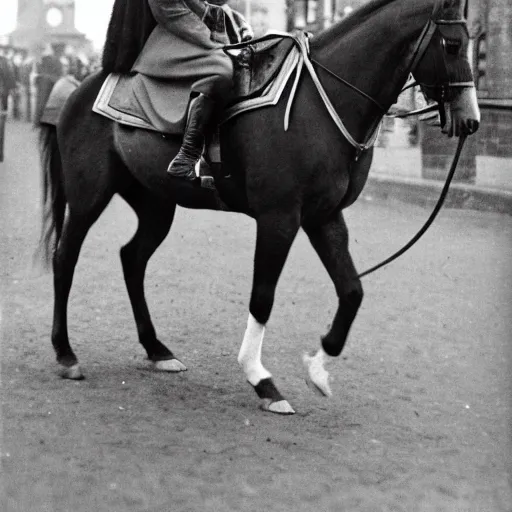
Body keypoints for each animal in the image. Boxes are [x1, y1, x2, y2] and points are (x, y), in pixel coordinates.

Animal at [40, 0, 480, 414]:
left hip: (156, 205)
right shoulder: (278, 218)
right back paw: (65, 353)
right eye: (453, 44)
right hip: (88, 197)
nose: (471, 120)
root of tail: (77, 89)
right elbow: (262, 296)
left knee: (132, 258)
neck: (320, 103)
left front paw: (317, 368)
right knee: (65, 257)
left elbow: (351, 290)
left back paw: (156, 349)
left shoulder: (323, 216)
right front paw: (261, 380)